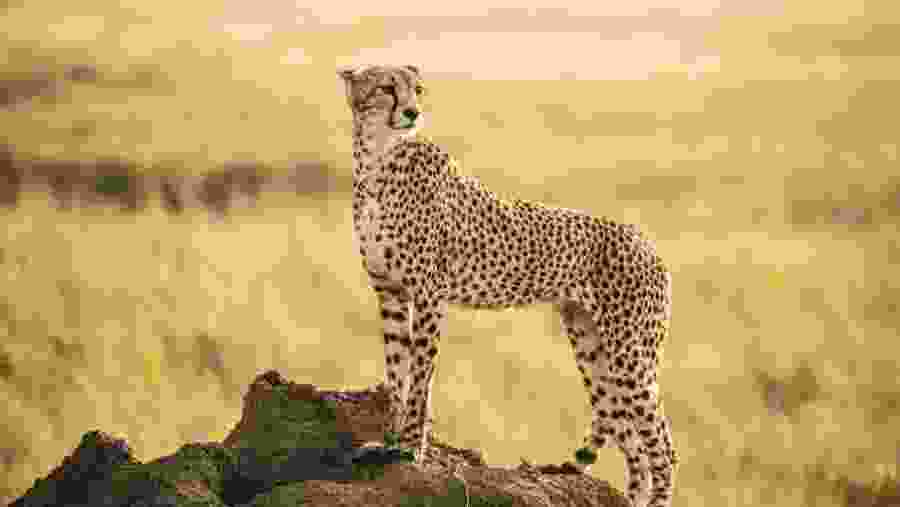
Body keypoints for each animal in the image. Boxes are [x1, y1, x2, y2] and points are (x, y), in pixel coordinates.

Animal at [338, 64, 678, 507]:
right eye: (386, 88)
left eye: (417, 89)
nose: (412, 112)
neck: (378, 155)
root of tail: (648, 243)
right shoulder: (390, 292)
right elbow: (397, 373)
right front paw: (390, 442)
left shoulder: (429, 294)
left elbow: (420, 378)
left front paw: (411, 449)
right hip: (592, 347)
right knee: (635, 447)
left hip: (629, 352)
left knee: (662, 445)